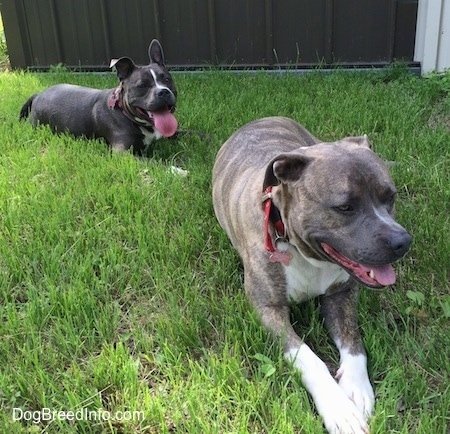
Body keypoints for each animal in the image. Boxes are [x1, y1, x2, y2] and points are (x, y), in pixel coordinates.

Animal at [19, 38, 178, 155]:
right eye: (142, 86)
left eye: (167, 79)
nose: (163, 92)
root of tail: (38, 94)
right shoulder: (124, 154)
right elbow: (160, 166)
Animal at [213, 117, 414, 434]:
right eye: (345, 207)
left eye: (390, 197)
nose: (402, 242)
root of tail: (262, 119)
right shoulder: (268, 309)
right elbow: (307, 357)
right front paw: (339, 409)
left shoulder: (342, 295)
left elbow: (354, 342)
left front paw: (357, 388)